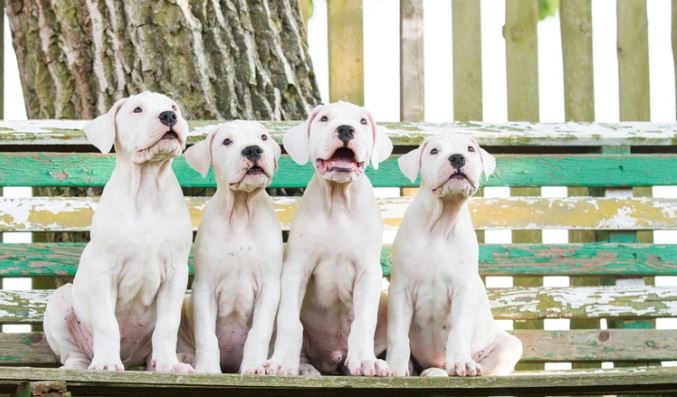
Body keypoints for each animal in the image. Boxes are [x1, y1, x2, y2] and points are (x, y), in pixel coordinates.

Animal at [43, 92, 193, 372]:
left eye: (173, 107)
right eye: (137, 110)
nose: (169, 116)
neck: (147, 188)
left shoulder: (176, 273)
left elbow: (167, 326)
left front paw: (170, 365)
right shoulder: (104, 271)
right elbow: (106, 324)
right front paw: (106, 364)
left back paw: (162, 363)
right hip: (59, 305)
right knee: (74, 353)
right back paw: (80, 365)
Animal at [177, 120, 282, 374]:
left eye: (263, 137)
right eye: (227, 141)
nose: (253, 150)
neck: (241, 210)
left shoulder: (269, 286)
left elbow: (259, 331)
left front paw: (253, 366)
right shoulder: (204, 287)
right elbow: (207, 335)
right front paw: (207, 369)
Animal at [262, 101, 390, 374]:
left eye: (362, 121)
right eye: (324, 119)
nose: (345, 129)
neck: (339, 200)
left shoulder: (368, 272)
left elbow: (364, 321)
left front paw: (365, 360)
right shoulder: (296, 269)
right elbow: (290, 321)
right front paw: (281, 363)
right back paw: (303, 368)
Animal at [386, 131, 524, 376]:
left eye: (470, 149)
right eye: (434, 151)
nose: (457, 158)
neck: (441, 224)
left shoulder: (464, 289)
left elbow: (460, 330)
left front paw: (461, 362)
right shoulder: (401, 291)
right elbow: (398, 334)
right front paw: (395, 367)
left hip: (510, 345)